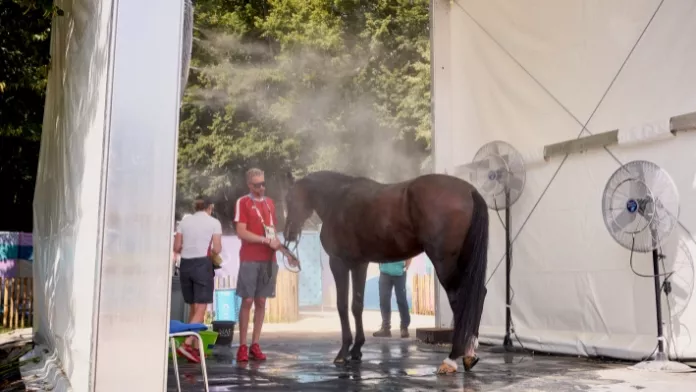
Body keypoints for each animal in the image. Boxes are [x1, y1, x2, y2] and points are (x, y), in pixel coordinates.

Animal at [282, 170, 490, 376]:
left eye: (290, 199)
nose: (287, 234)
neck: (337, 199)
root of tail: (469, 191)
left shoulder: (339, 262)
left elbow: (342, 305)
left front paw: (343, 352)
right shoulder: (359, 264)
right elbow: (356, 305)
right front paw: (356, 349)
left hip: (445, 263)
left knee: (460, 299)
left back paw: (452, 359)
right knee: (478, 295)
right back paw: (469, 354)